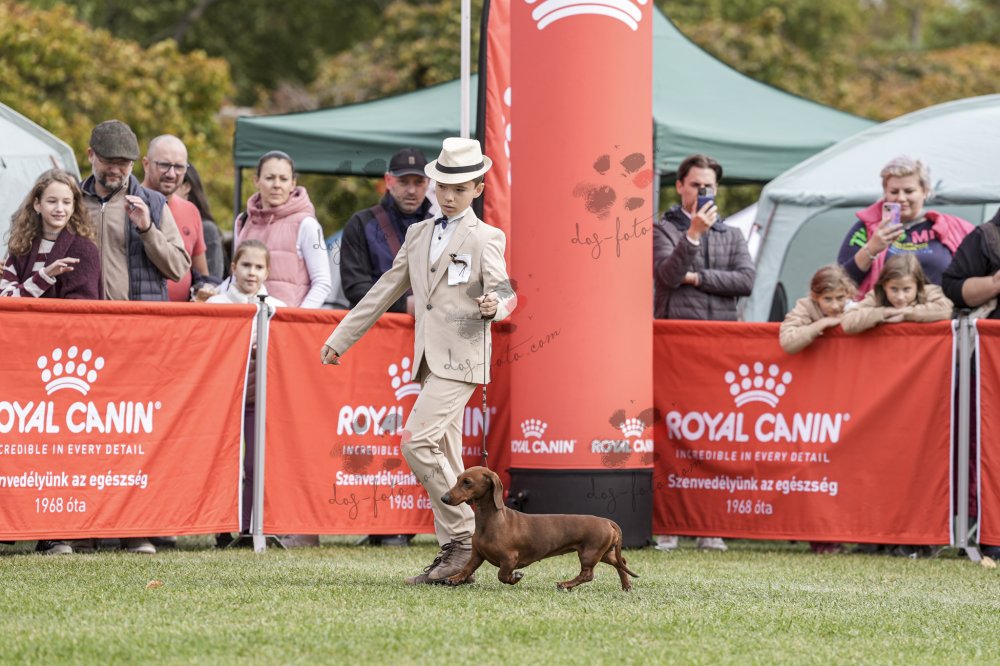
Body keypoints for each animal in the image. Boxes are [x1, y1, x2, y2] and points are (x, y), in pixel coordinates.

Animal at [440, 466, 638, 591]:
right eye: (457, 479)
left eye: (467, 482)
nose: (443, 498)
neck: (491, 520)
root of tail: (607, 521)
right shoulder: (477, 555)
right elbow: (467, 568)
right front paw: (455, 579)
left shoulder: (509, 558)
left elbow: (502, 575)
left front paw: (515, 578)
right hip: (603, 553)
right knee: (620, 563)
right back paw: (626, 586)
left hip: (589, 553)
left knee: (588, 574)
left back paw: (565, 584)